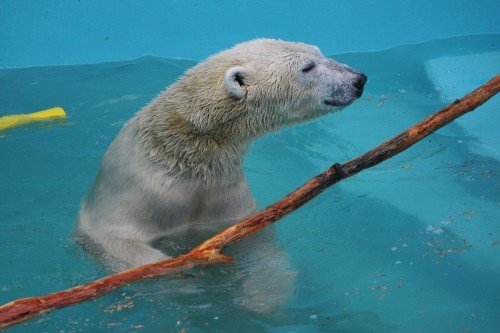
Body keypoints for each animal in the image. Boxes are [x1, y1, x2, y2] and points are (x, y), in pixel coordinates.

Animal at [76, 39, 366, 284]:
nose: (359, 79)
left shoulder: (223, 192)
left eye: (319, 51)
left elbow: (251, 234)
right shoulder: (140, 189)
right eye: (307, 67)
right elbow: (117, 239)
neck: (187, 156)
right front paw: (178, 269)